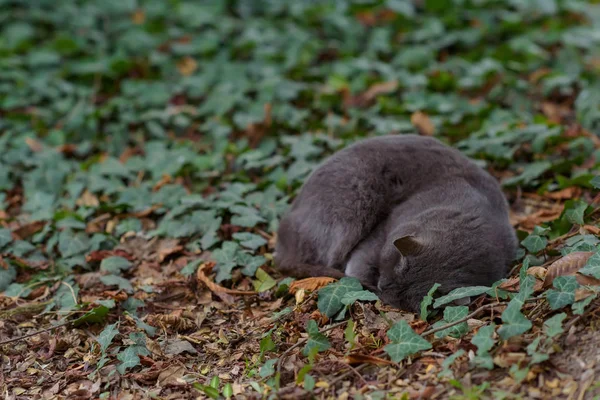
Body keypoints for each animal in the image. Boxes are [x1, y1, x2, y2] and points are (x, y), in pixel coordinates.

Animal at [274, 134, 516, 312]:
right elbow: (361, 259)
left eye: (401, 298)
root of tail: (281, 243)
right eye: (394, 266)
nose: (381, 287)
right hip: (353, 204)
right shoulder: (384, 229)